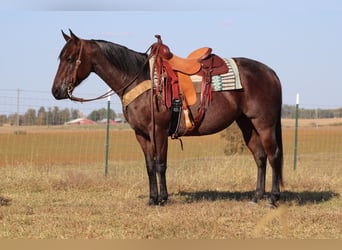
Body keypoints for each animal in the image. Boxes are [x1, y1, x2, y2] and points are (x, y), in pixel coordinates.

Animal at [52, 30, 284, 207]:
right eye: (60, 58)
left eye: (70, 59)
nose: (56, 91)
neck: (141, 79)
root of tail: (270, 72)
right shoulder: (142, 135)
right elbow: (149, 166)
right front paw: (152, 199)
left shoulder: (159, 131)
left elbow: (160, 164)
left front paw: (162, 199)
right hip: (247, 124)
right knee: (260, 157)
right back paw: (256, 197)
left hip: (265, 124)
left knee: (273, 156)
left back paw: (273, 199)